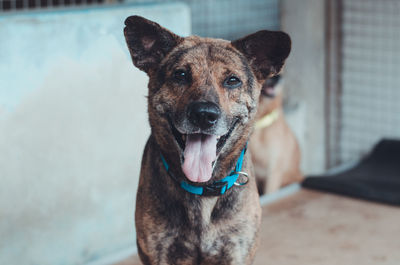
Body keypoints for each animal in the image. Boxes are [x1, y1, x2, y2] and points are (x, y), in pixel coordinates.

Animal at [124, 15, 290, 262]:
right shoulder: (158, 253)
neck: (202, 188)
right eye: (180, 75)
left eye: (232, 80)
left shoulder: (237, 252)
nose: (204, 114)